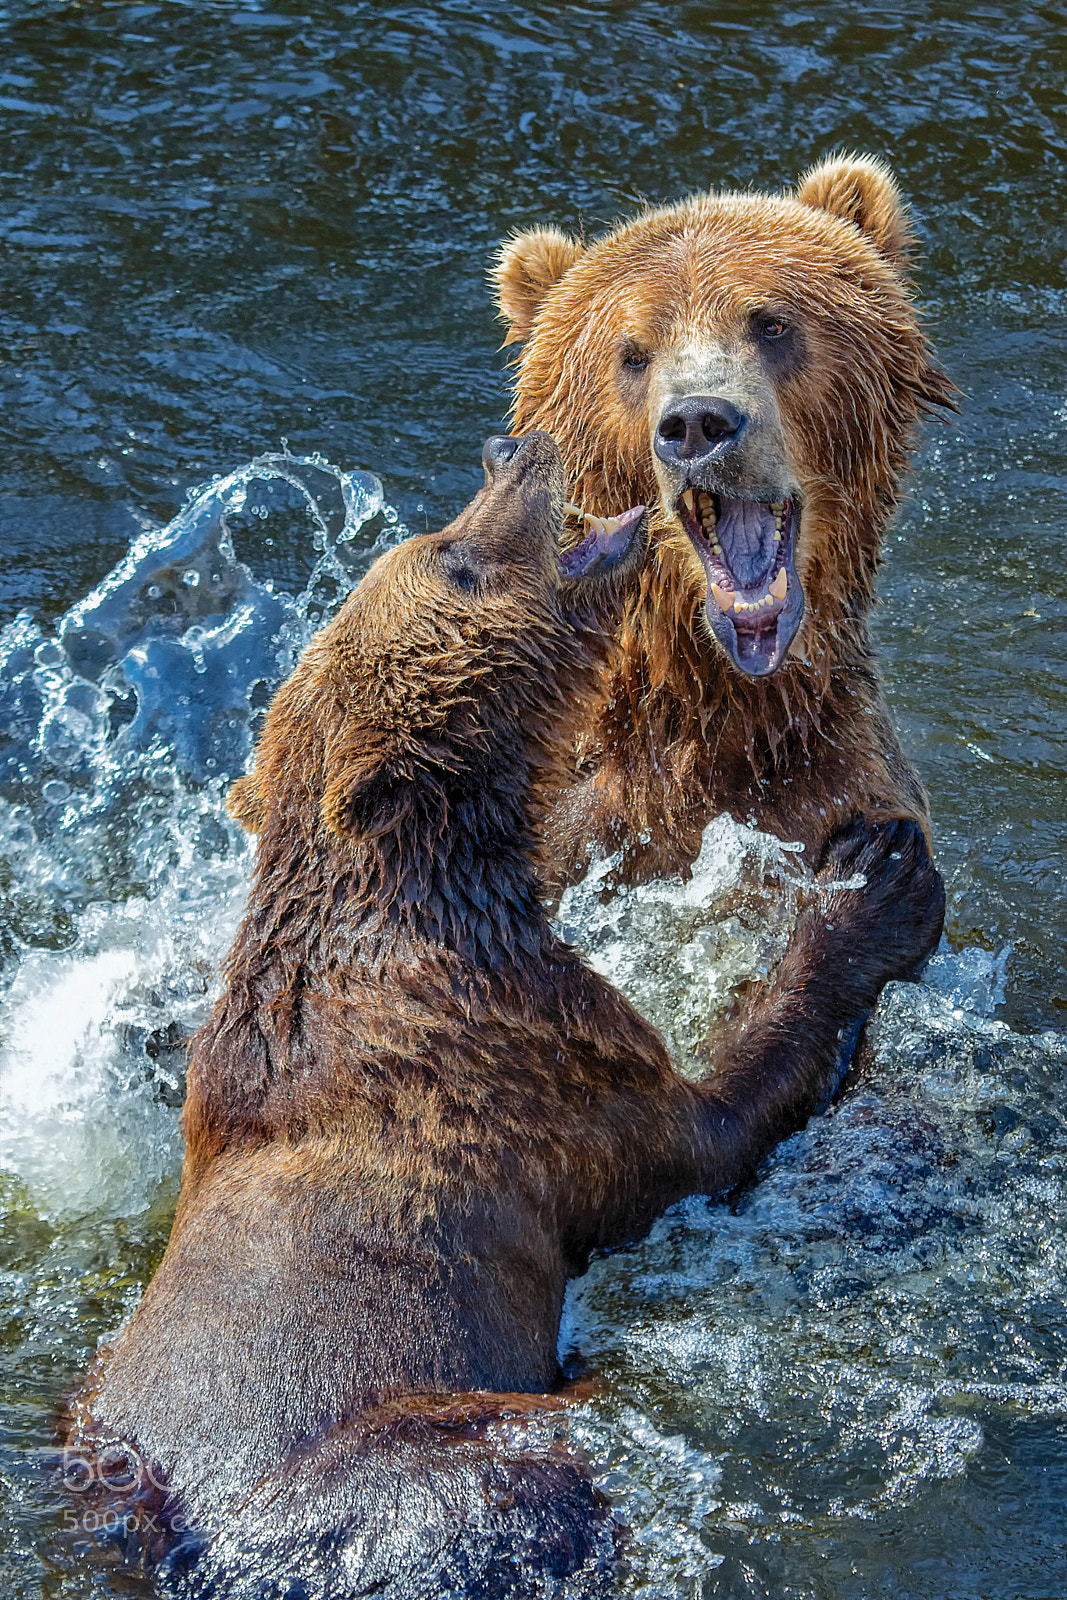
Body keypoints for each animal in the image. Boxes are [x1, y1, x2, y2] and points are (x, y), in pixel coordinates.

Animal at [63, 432, 942, 1599]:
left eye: (442, 532)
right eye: (455, 560)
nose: (511, 447)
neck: (443, 890)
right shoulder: (531, 1066)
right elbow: (706, 1123)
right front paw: (873, 878)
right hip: (398, 1464)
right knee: (515, 1480)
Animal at [493, 153, 954, 1091]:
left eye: (770, 322)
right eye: (632, 352)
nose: (698, 422)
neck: (711, 706)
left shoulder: (836, 788)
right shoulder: (562, 825)